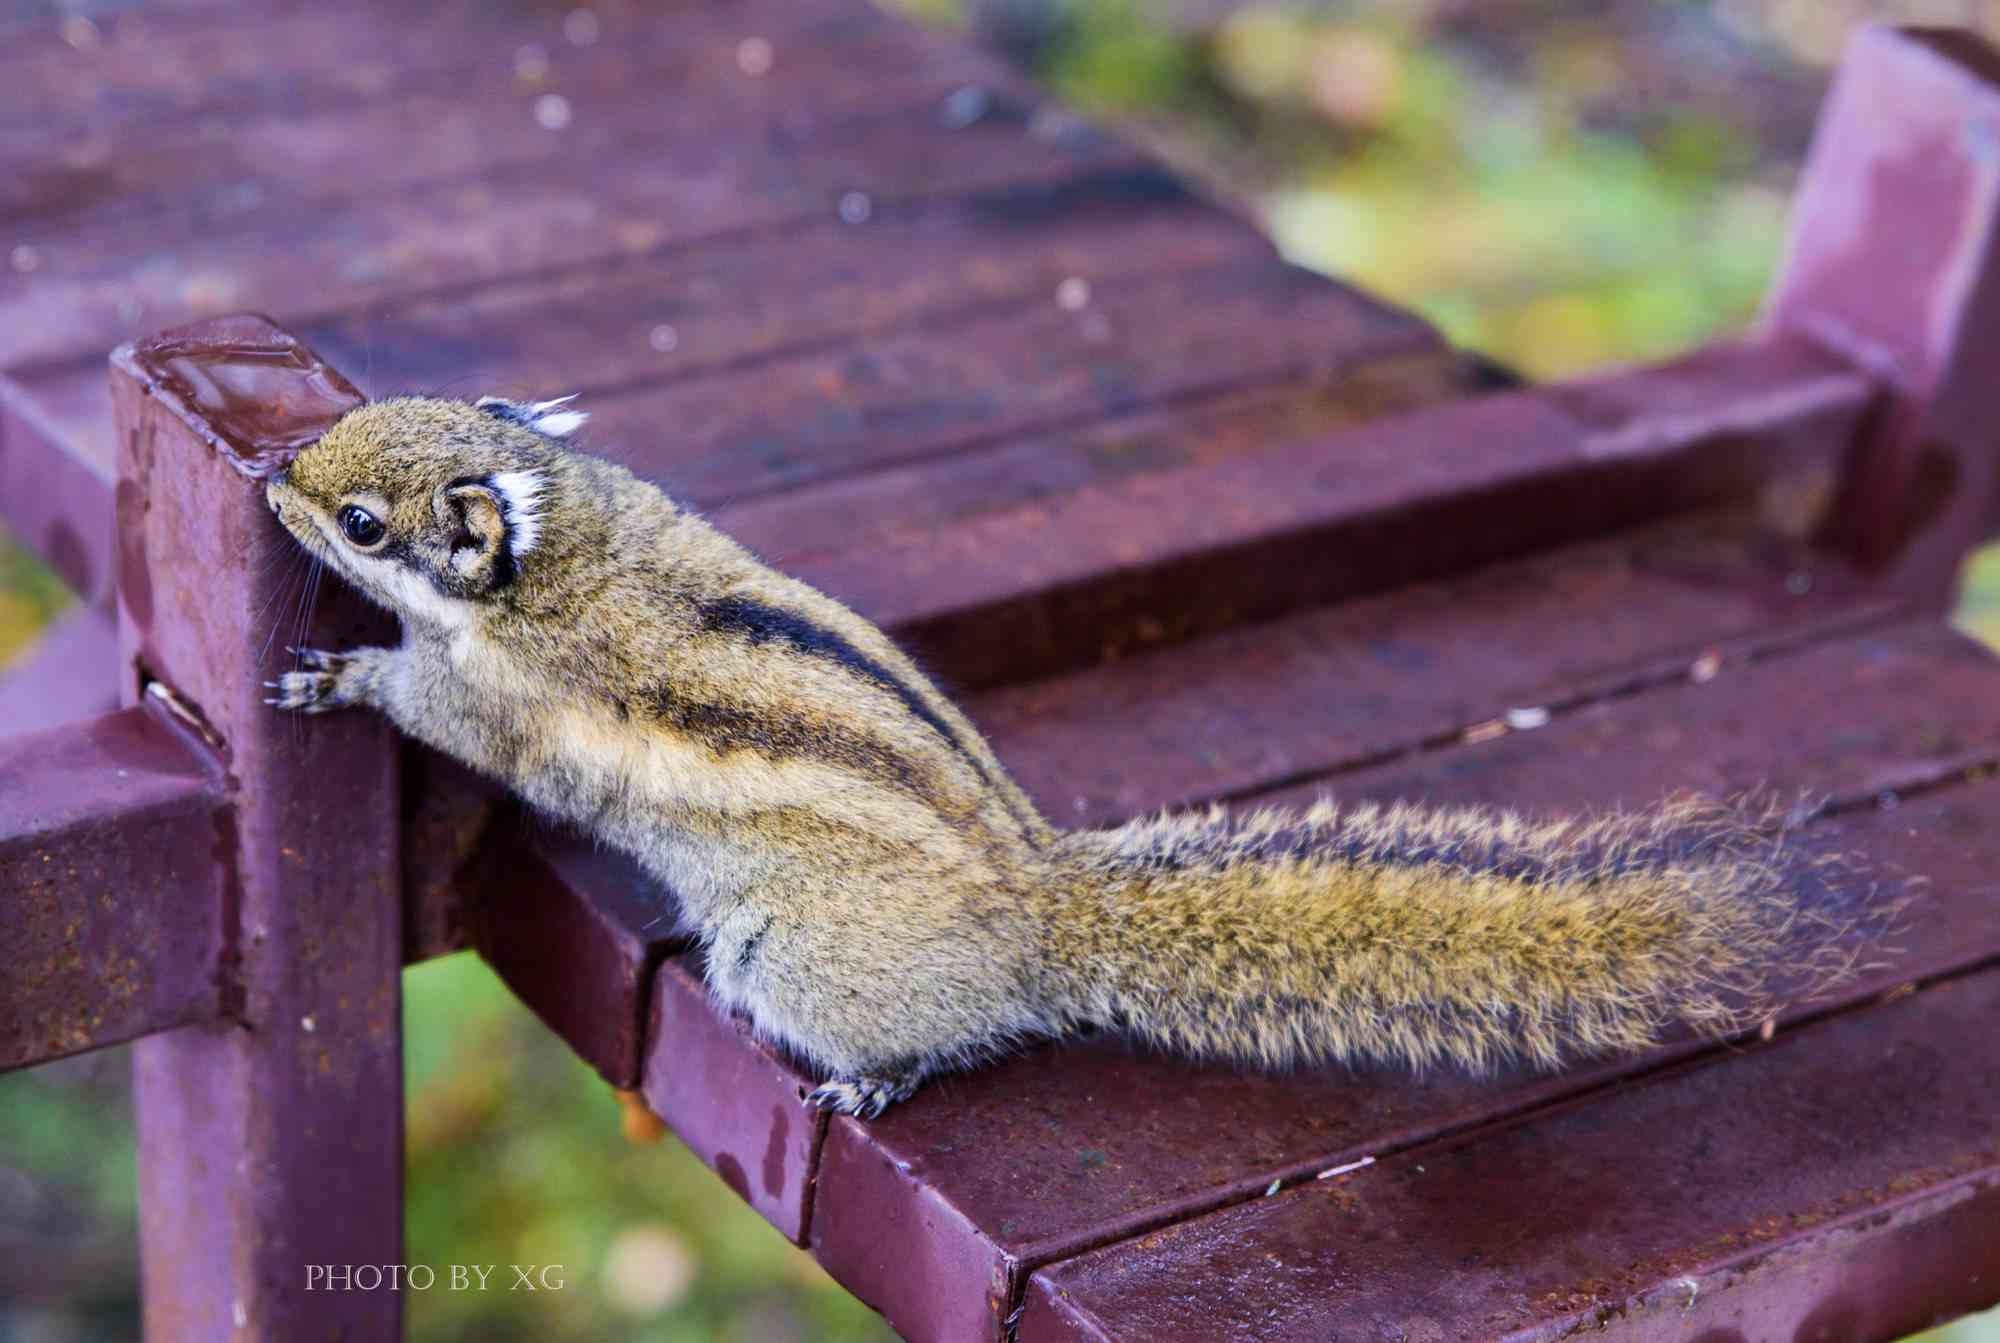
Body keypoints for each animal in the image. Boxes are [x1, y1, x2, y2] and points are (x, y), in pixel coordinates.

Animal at [270, 393, 1888, 1119]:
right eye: (348, 421)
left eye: (360, 522)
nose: (274, 473)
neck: (567, 550)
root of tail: (1042, 901)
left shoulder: (499, 704)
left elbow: (428, 702)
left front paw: (339, 673)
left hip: (791, 961)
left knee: (968, 1031)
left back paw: (884, 1076)